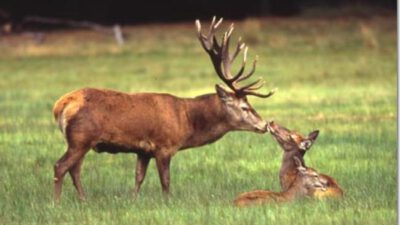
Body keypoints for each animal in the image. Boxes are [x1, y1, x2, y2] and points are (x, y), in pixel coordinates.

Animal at [51, 16, 276, 201]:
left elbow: (138, 177)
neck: (186, 121)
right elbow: (166, 181)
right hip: (81, 137)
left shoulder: (143, 151)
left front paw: (133, 200)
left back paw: (83, 199)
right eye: (245, 107)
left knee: (74, 169)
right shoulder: (164, 146)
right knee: (60, 166)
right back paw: (57, 203)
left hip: (80, 140)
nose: (264, 124)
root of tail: (60, 105)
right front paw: (168, 203)